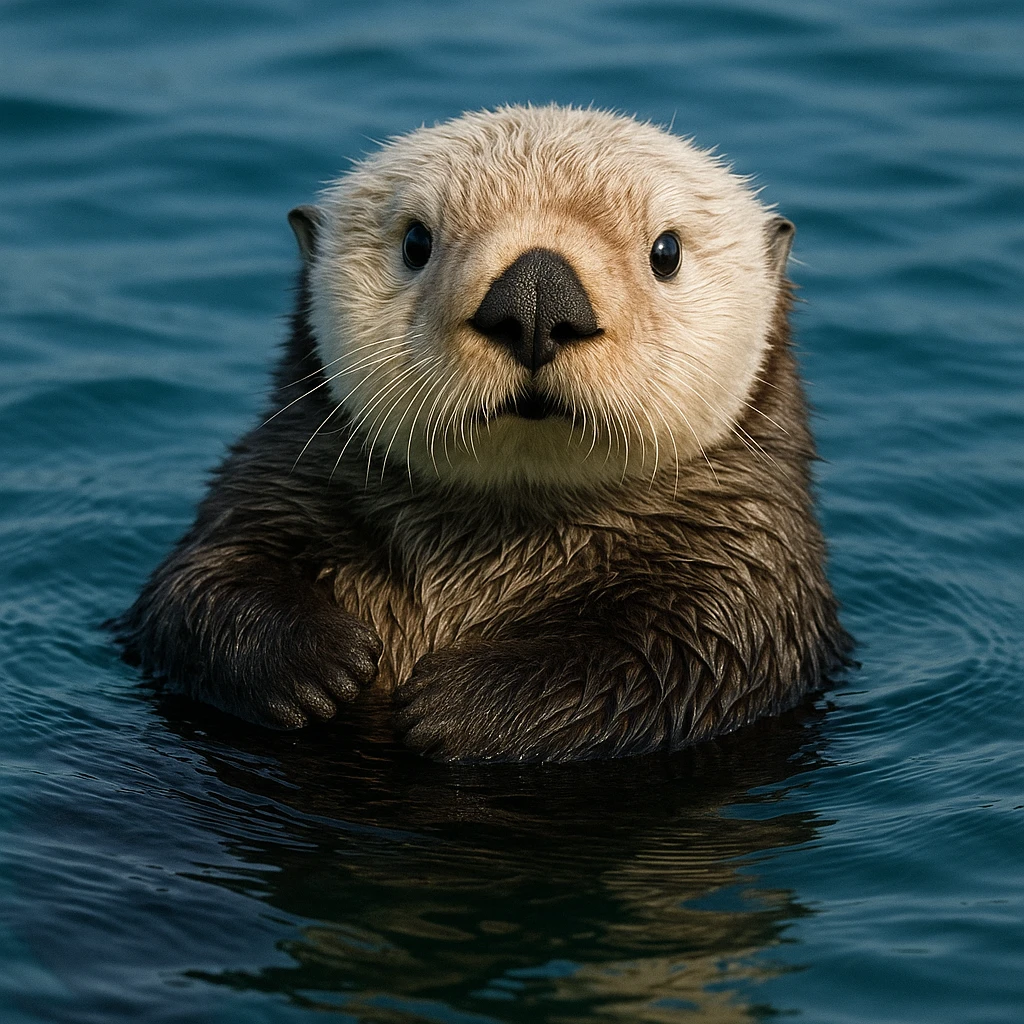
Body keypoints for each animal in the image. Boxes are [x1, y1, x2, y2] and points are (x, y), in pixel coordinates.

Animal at [115, 105, 850, 762]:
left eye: (665, 252)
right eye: (416, 242)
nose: (537, 298)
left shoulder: (747, 570)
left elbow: (682, 655)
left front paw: (463, 709)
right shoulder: (271, 489)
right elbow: (199, 588)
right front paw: (323, 664)